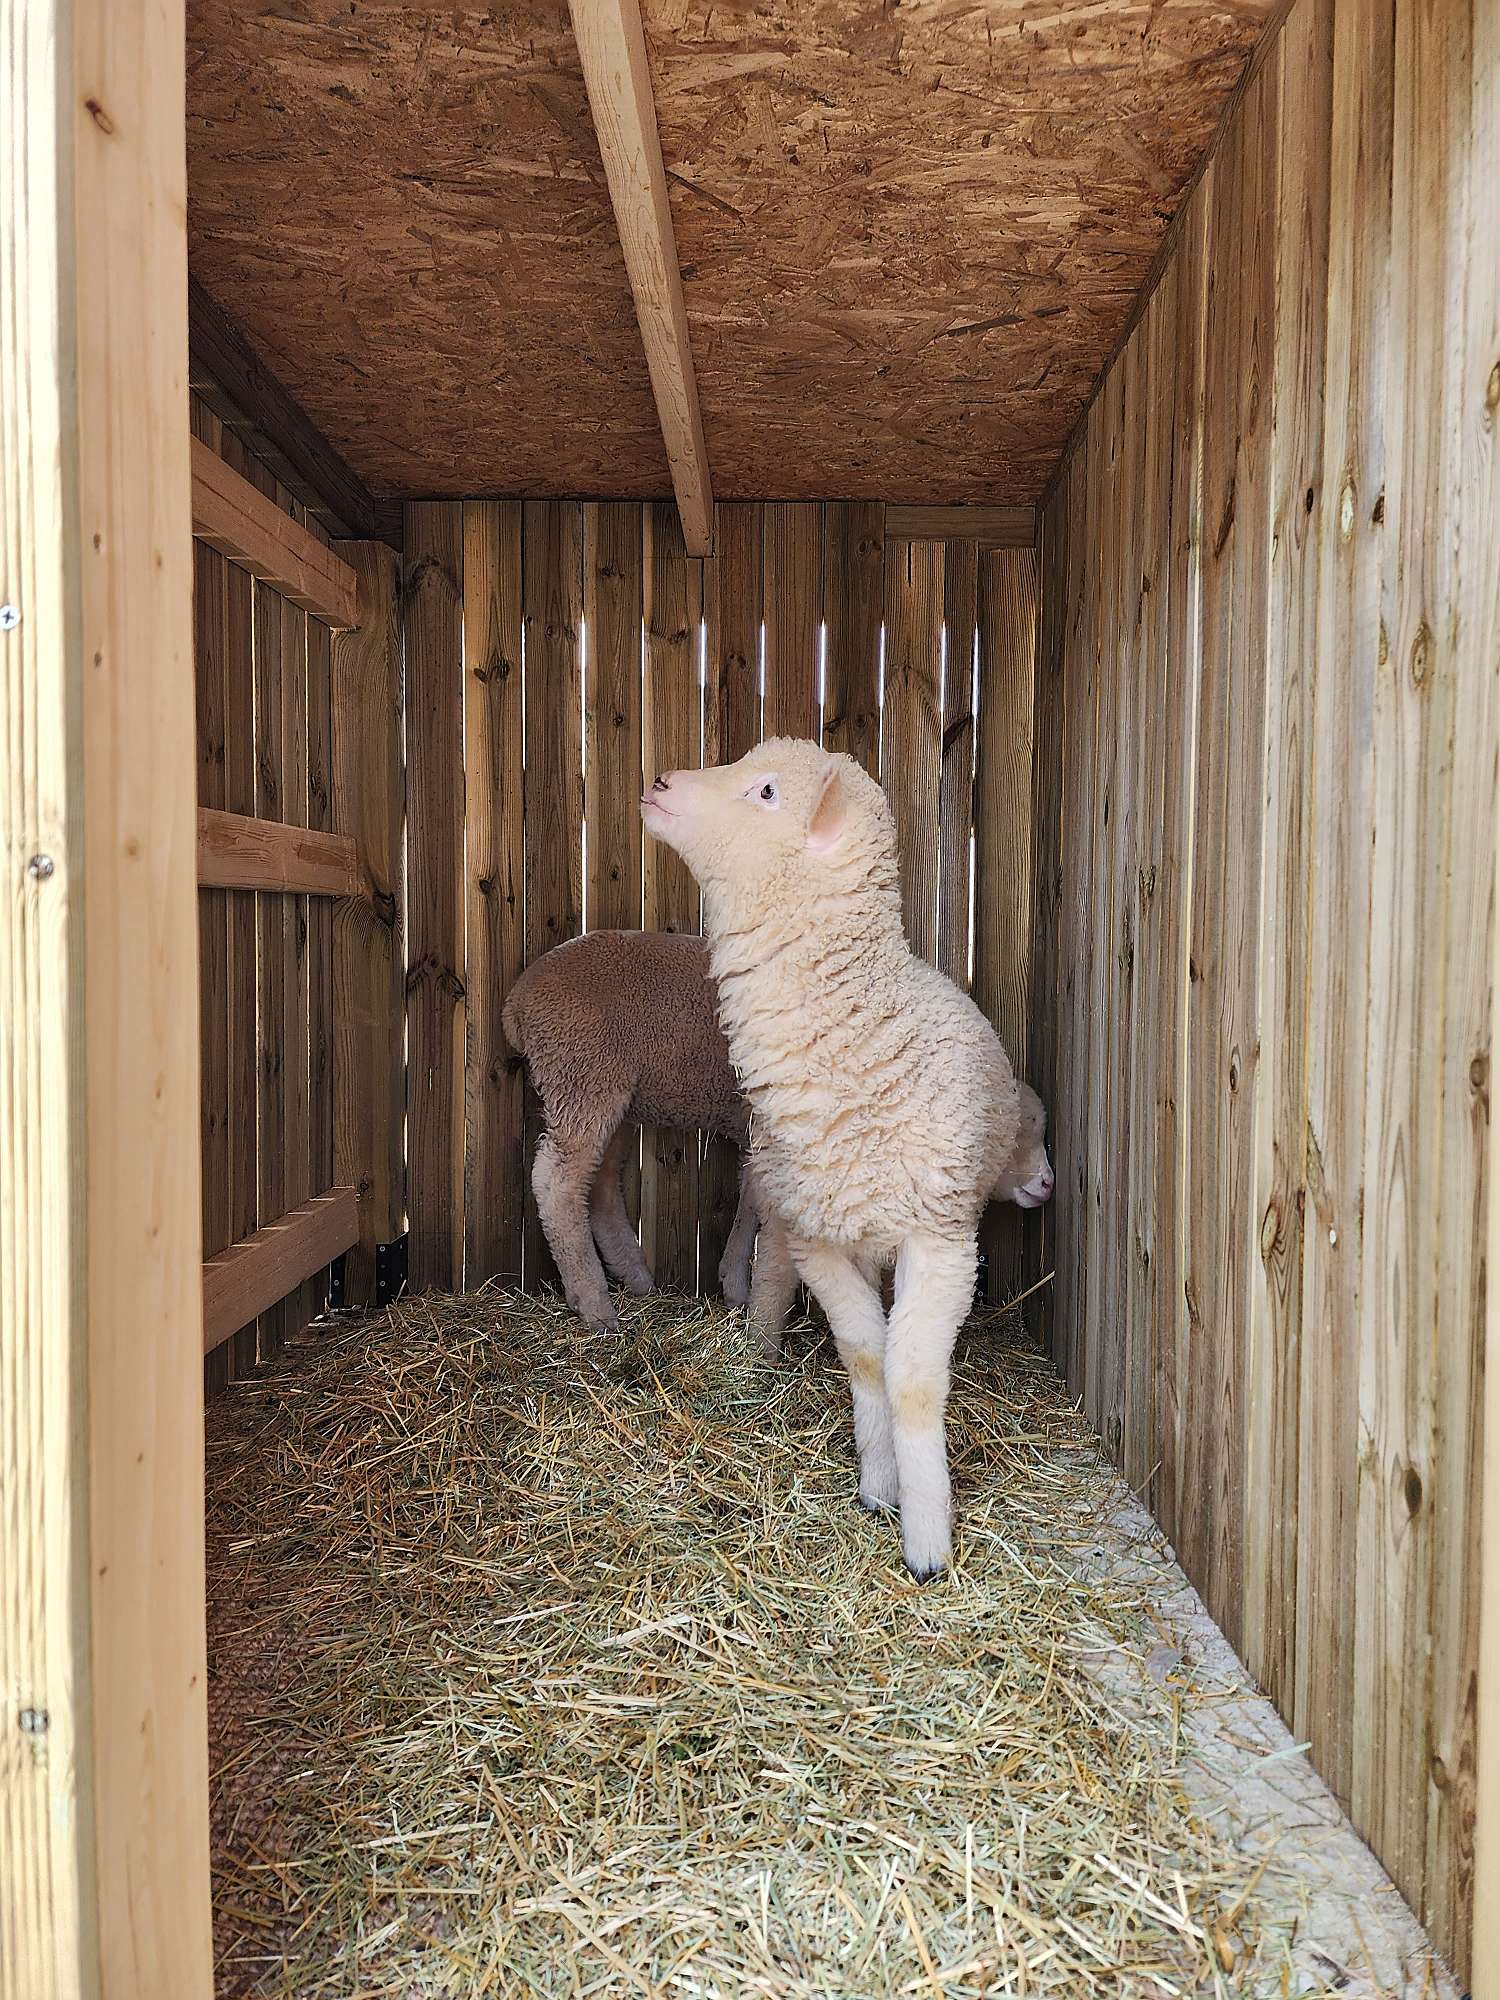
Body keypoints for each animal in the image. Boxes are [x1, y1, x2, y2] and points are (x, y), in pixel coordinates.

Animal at [648, 736, 1048, 1576]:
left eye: (767, 791)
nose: (660, 783)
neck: (867, 1037)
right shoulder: (821, 1240)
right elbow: (866, 1358)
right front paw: (878, 1485)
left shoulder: (941, 1243)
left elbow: (915, 1380)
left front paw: (928, 1544)